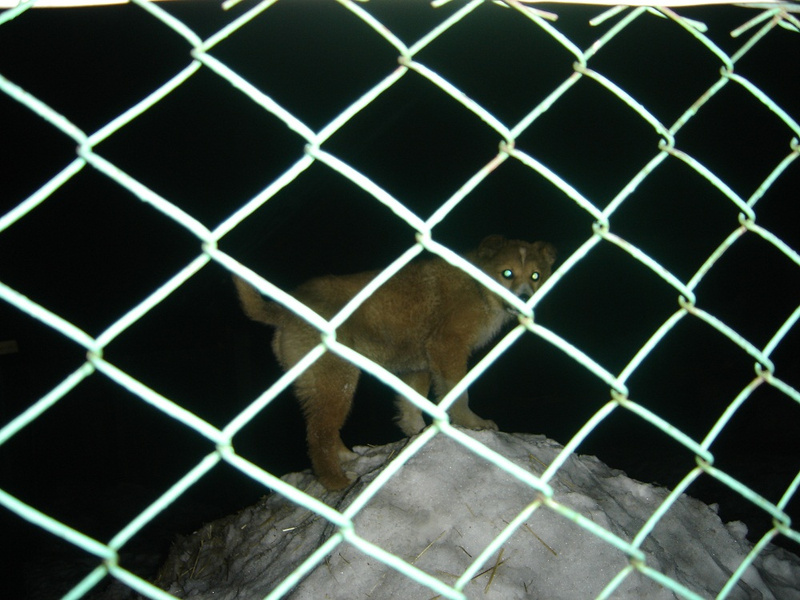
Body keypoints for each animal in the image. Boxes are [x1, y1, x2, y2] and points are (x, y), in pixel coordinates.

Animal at [234, 235, 556, 490]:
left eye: (536, 276)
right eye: (507, 273)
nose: (525, 299)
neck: (479, 286)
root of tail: (284, 311)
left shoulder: (421, 366)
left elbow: (410, 406)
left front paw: (417, 437)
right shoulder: (448, 346)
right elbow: (458, 394)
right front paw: (472, 425)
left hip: (320, 384)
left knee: (324, 429)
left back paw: (348, 458)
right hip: (337, 379)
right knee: (318, 436)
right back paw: (338, 483)